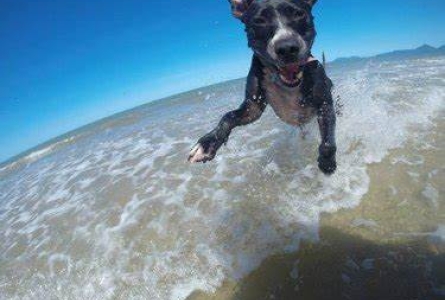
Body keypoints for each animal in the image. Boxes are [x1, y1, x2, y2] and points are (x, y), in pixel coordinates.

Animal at [187, 0, 336, 176]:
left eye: (298, 14)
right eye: (259, 21)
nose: (287, 48)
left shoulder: (324, 104)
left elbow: (328, 141)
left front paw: (327, 161)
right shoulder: (253, 108)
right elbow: (228, 116)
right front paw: (208, 143)